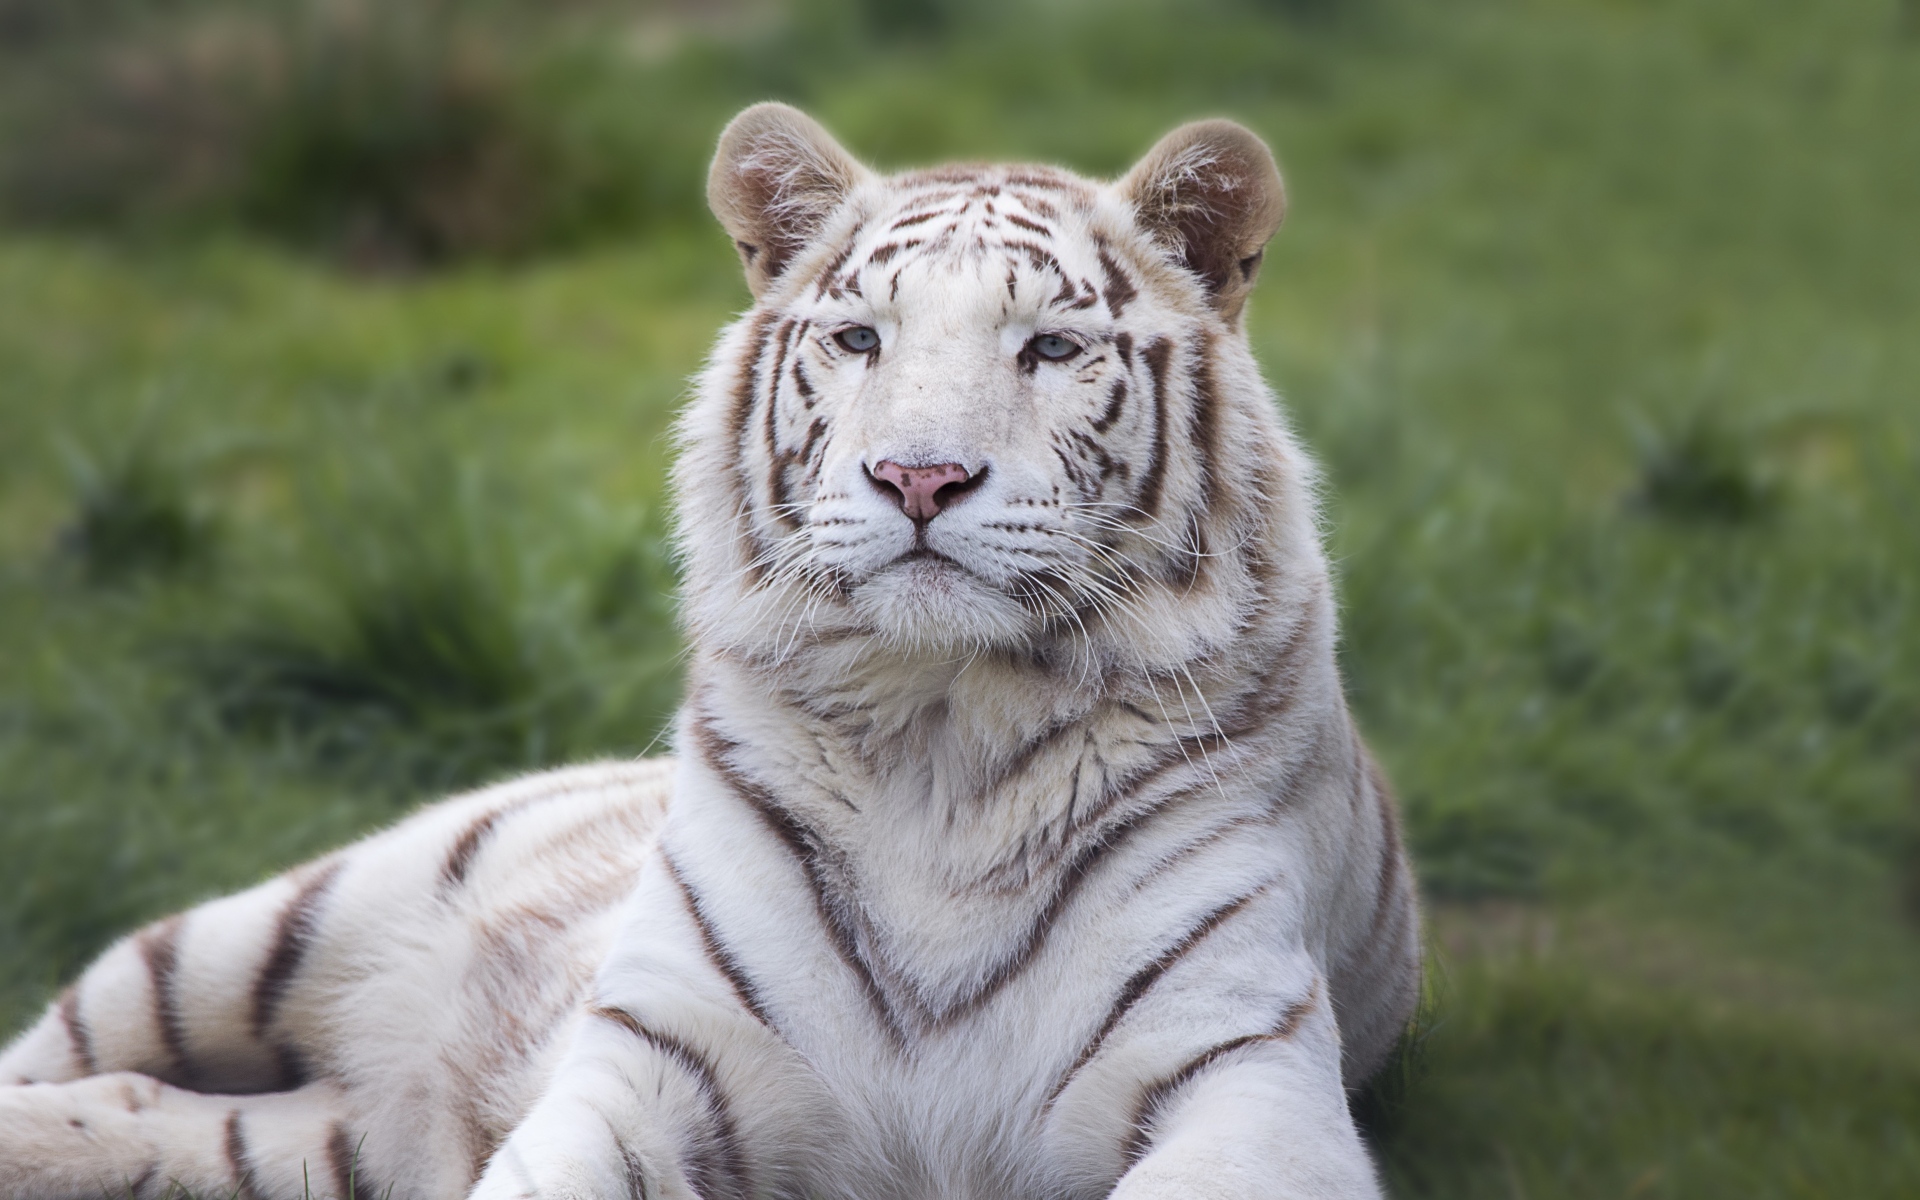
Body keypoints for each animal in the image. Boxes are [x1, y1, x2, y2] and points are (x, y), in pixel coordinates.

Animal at [0, 104, 1421, 1200]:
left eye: (1052, 347)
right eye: (860, 338)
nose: (918, 477)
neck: (944, 734)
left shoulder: (1241, 1079)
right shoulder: (656, 1054)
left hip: (319, 1138)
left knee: (157, 1115)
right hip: (259, 932)